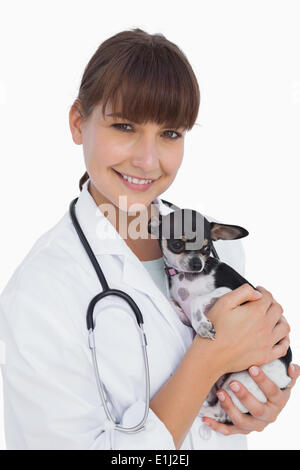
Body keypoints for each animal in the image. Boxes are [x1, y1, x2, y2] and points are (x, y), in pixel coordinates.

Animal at [148, 204, 292, 424]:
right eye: (177, 244)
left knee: (220, 413)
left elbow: (197, 300)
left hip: (243, 379)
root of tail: (286, 378)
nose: (197, 264)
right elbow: (173, 303)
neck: (187, 278)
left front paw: (202, 326)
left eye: (206, 249)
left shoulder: (229, 291)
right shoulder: (184, 313)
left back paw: (201, 412)